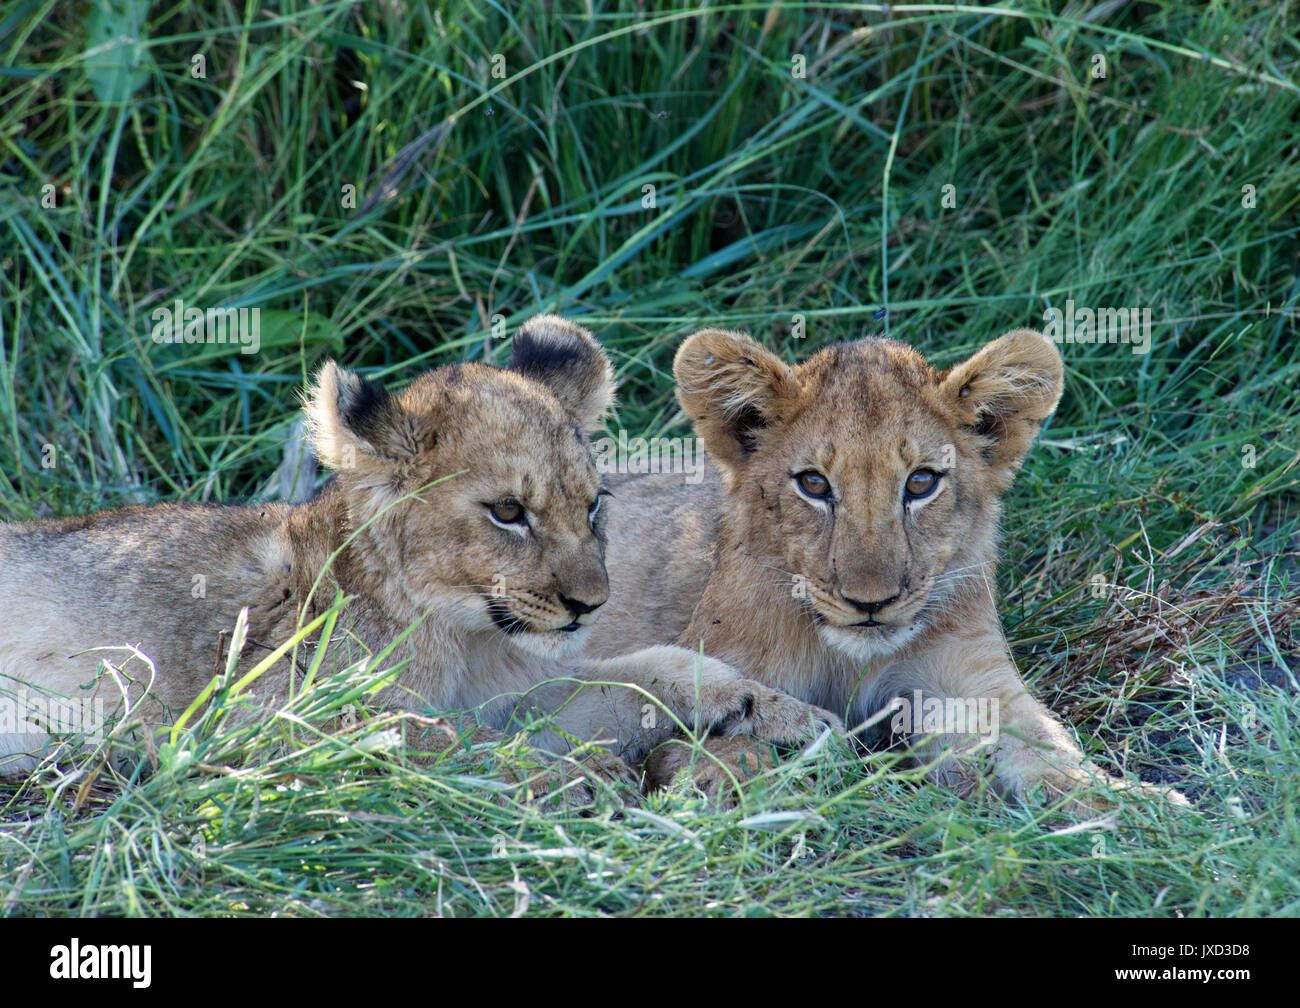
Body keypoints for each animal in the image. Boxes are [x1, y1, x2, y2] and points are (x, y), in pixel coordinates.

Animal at [0, 316, 837, 794]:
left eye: (594, 502)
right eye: (508, 512)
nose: (590, 605)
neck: (464, 635)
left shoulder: (525, 687)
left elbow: (650, 669)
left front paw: (784, 714)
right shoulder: (267, 715)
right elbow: (440, 736)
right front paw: (579, 775)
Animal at [585, 326, 1189, 812]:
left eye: (921, 482)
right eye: (813, 484)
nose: (870, 601)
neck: (847, 659)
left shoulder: (973, 677)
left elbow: (1045, 747)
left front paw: (1134, 806)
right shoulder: (710, 672)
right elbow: (719, 742)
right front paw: (738, 783)